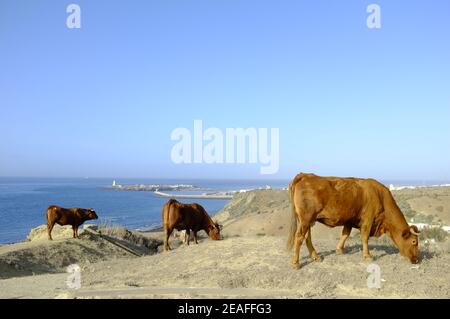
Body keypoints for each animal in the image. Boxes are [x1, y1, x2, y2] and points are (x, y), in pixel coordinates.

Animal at [286, 174, 420, 268]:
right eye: (414, 241)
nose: (416, 259)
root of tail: (305, 175)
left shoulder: (349, 220)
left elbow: (345, 234)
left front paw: (339, 250)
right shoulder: (368, 219)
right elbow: (365, 238)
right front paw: (367, 256)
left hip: (307, 220)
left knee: (307, 237)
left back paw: (316, 257)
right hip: (306, 218)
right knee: (299, 237)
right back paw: (296, 263)